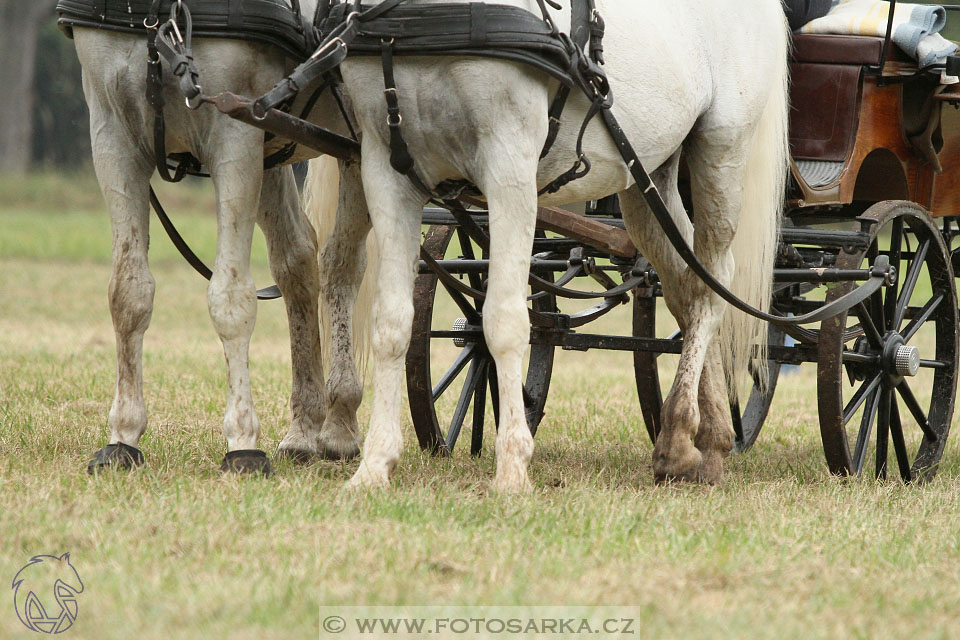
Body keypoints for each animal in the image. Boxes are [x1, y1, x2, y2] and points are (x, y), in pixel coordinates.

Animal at [70, 0, 376, 470]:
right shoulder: (112, 135)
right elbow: (128, 293)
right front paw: (123, 435)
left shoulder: (236, 136)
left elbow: (230, 298)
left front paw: (243, 441)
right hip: (280, 148)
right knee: (299, 261)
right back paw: (305, 429)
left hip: (358, 144)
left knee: (340, 265)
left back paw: (340, 423)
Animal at [326, 0, 792, 490]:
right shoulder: (385, 171)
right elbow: (392, 324)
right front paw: (374, 466)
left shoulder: (509, 167)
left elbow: (504, 321)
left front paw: (512, 469)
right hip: (651, 175)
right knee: (686, 280)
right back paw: (707, 440)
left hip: (722, 151)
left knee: (712, 282)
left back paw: (683, 432)